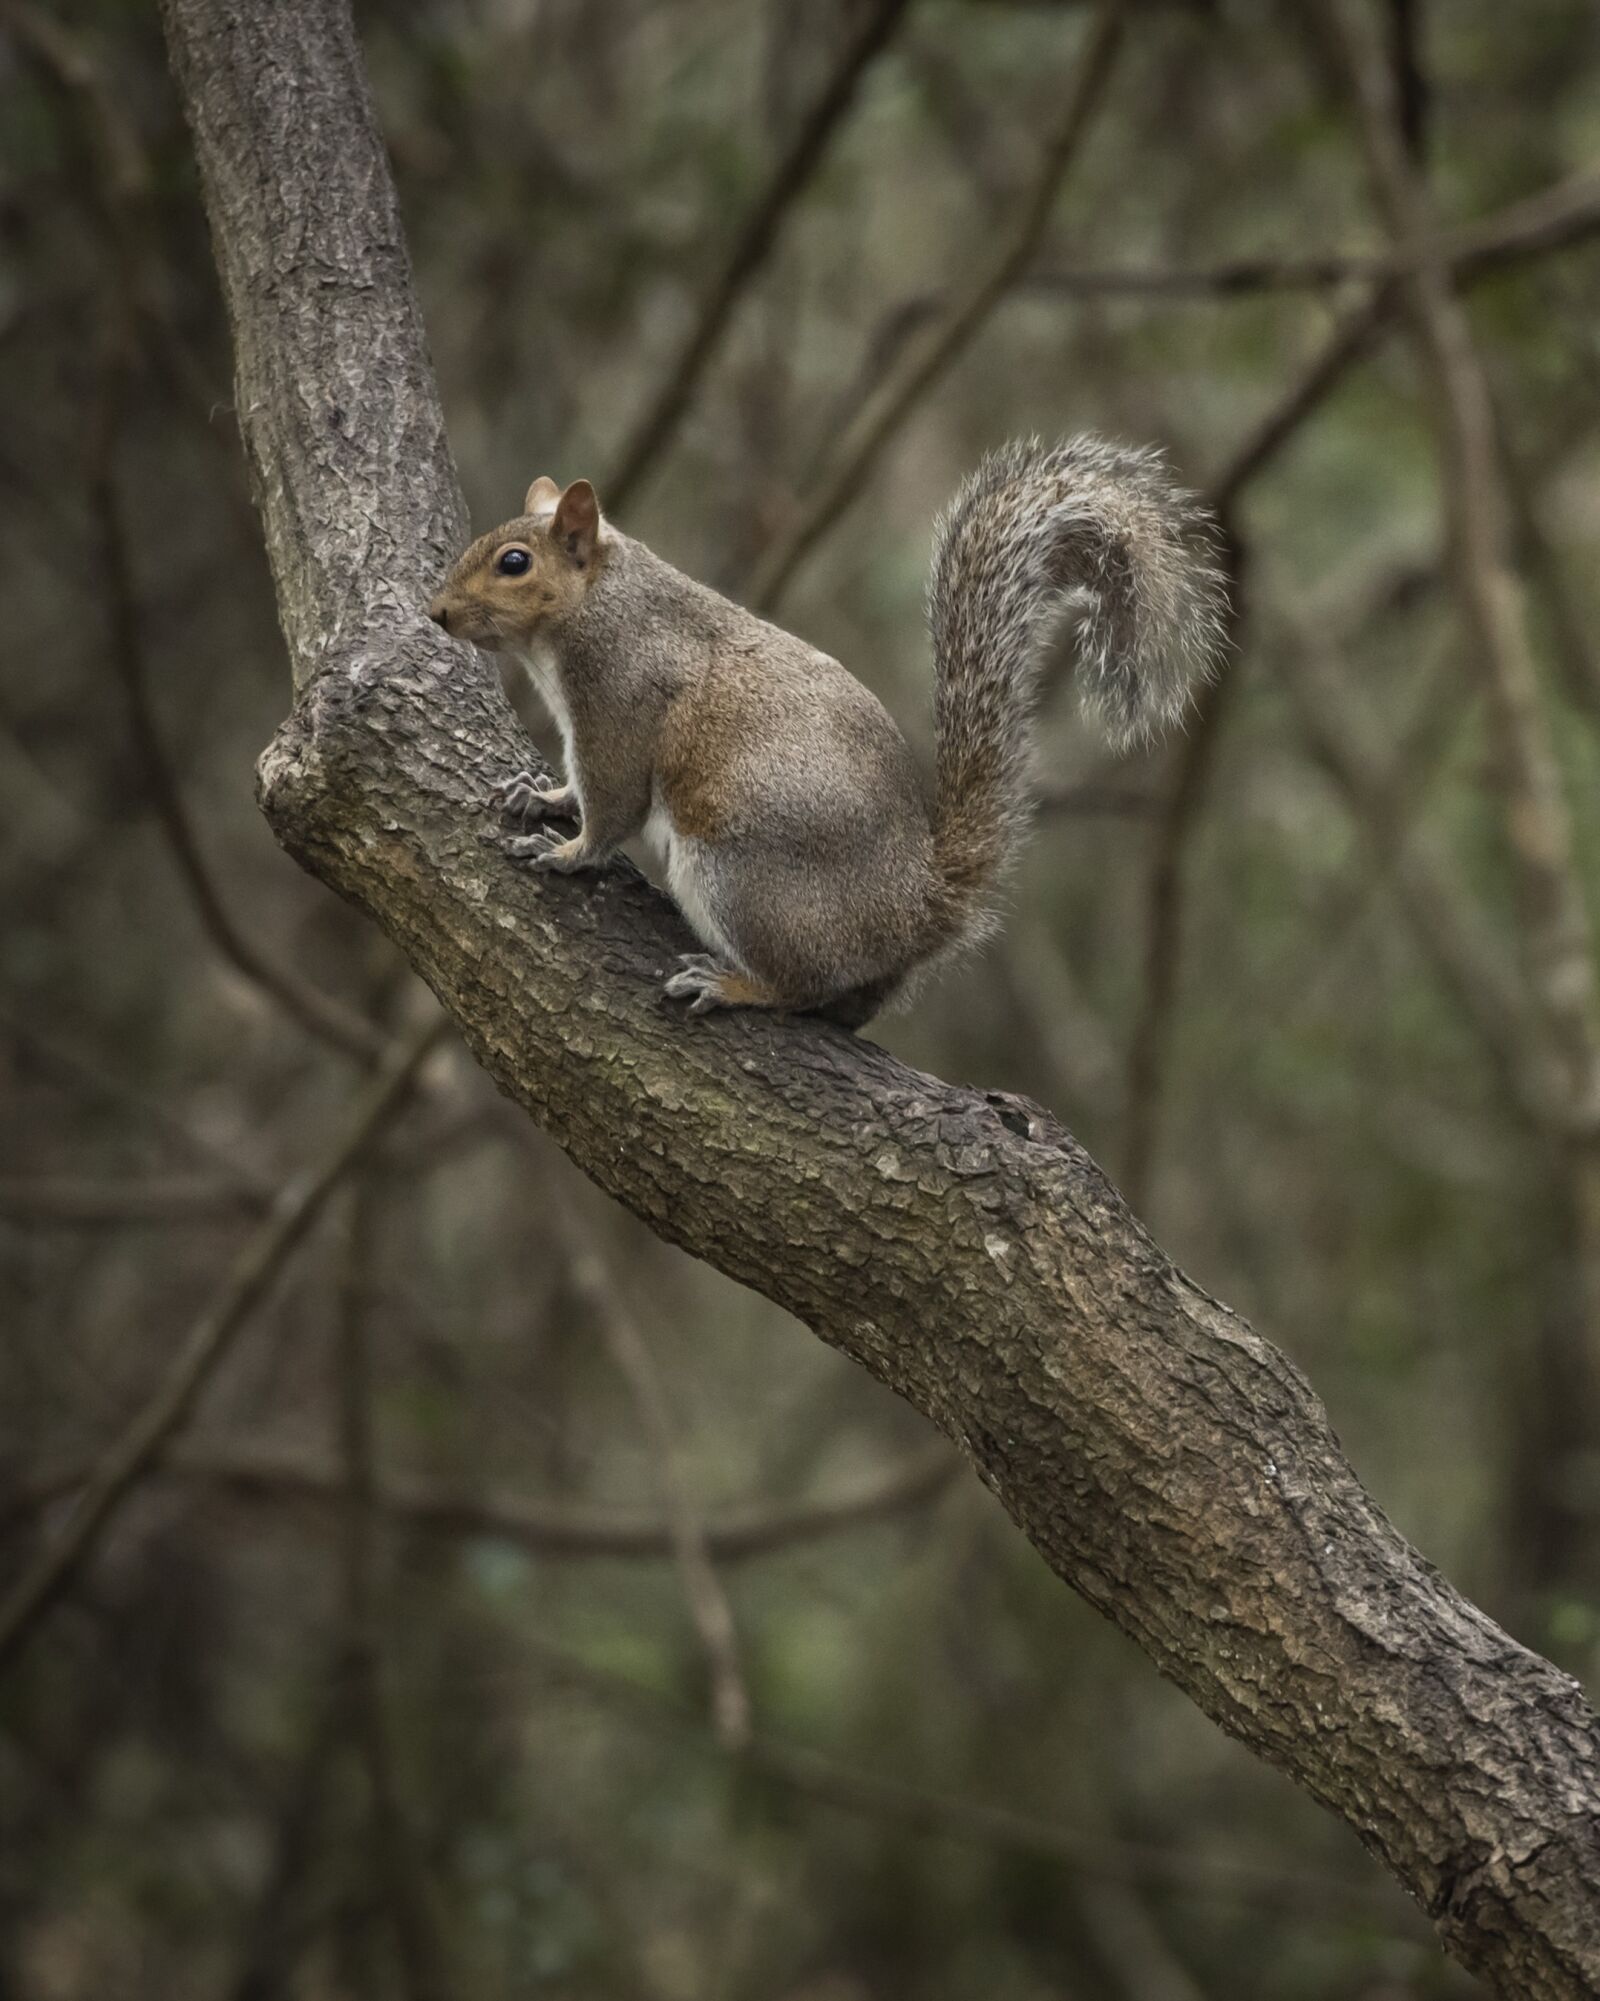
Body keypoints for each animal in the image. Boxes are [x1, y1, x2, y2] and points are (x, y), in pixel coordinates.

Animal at [428, 437, 1225, 1027]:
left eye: (514, 563)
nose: (437, 612)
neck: (595, 606)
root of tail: (914, 911)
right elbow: (577, 784)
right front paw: (545, 796)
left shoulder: (620, 702)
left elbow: (612, 804)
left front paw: (567, 853)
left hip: (742, 874)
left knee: (805, 986)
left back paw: (735, 986)